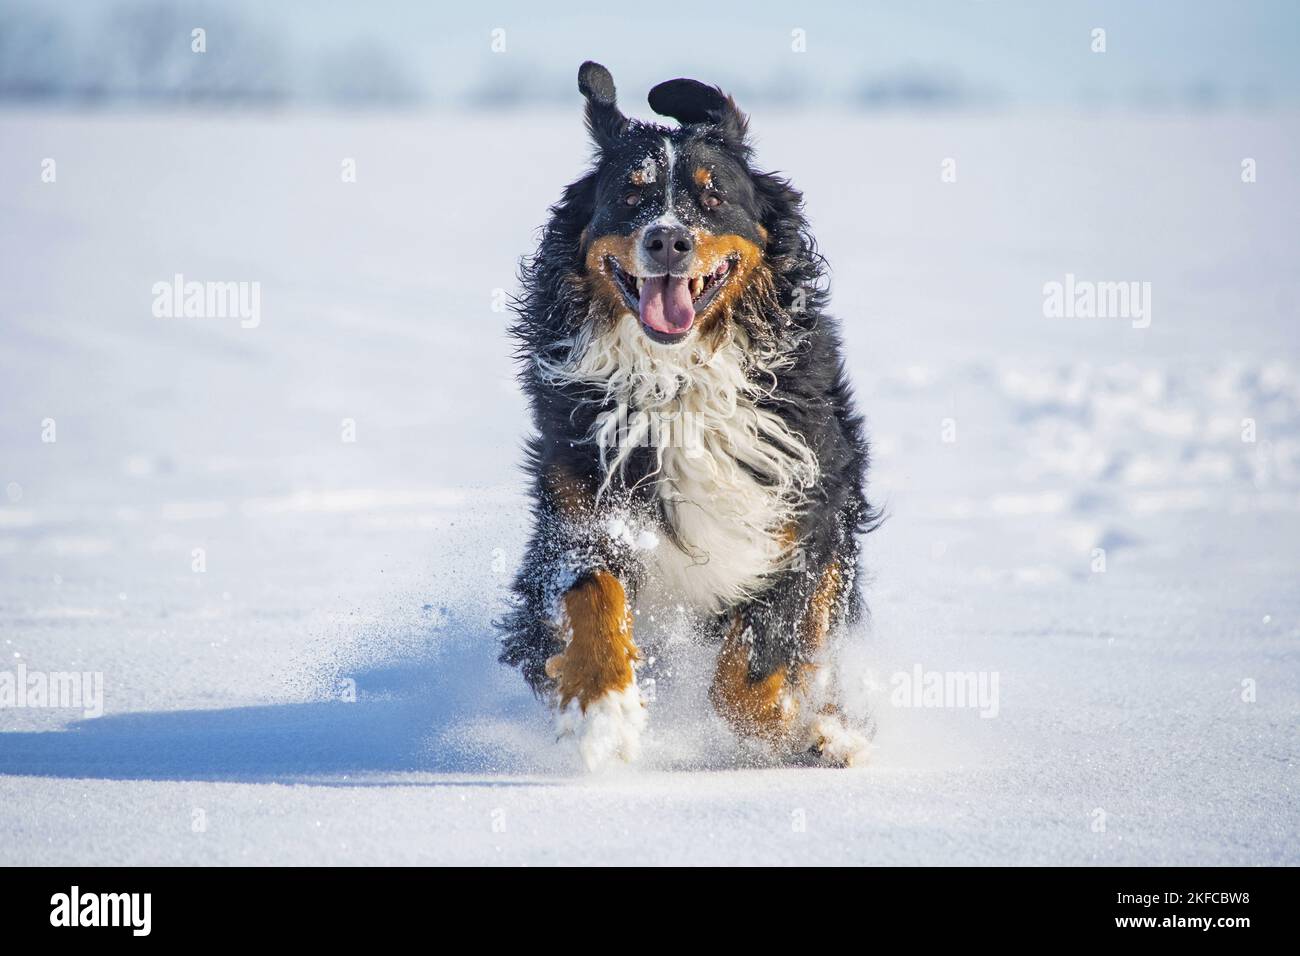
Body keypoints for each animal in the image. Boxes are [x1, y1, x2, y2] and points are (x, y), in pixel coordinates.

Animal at [501, 61, 878, 770]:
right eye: (631, 196)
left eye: (713, 197)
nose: (669, 239)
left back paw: (831, 729)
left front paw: (795, 730)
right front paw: (601, 708)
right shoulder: (579, 500)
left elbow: (757, 664)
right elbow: (589, 590)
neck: (678, 384)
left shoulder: (803, 517)